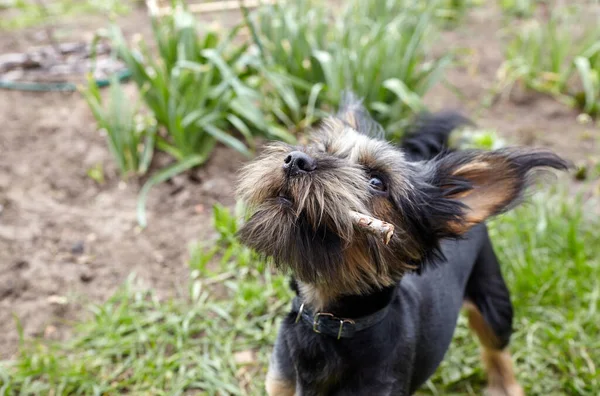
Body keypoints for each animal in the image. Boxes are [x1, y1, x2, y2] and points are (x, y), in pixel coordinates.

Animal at [234, 93, 568, 396]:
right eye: (321, 149)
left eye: (377, 182)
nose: (296, 159)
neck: (331, 320)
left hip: (492, 298)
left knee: (497, 347)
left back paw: (505, 387)